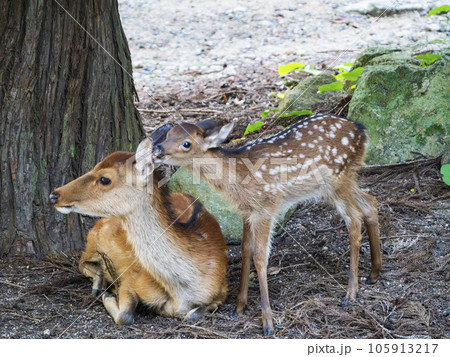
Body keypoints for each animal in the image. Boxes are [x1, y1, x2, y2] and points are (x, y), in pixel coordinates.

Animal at [49, 135, 229, 324]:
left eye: (105, 179)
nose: (54, 195)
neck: (181, 292)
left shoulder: (222, 291)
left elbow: (193, 314)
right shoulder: (132, 278)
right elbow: (125, 316)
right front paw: (109, 296)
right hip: (92, 242)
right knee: (81, 262)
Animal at [153, 113, 382, 334]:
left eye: (186, 143)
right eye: (169, 134)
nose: (157, 149)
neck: (237, 180)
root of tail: (361, 130)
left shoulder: (265, 207)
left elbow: (260, 258)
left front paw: (268, 322)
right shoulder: (247, 212)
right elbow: (245, 250)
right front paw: (239, 307)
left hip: (338, 179)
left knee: (354, 220)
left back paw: (350, 293)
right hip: (342, 181)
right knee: (370, 203)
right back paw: (373, 274)